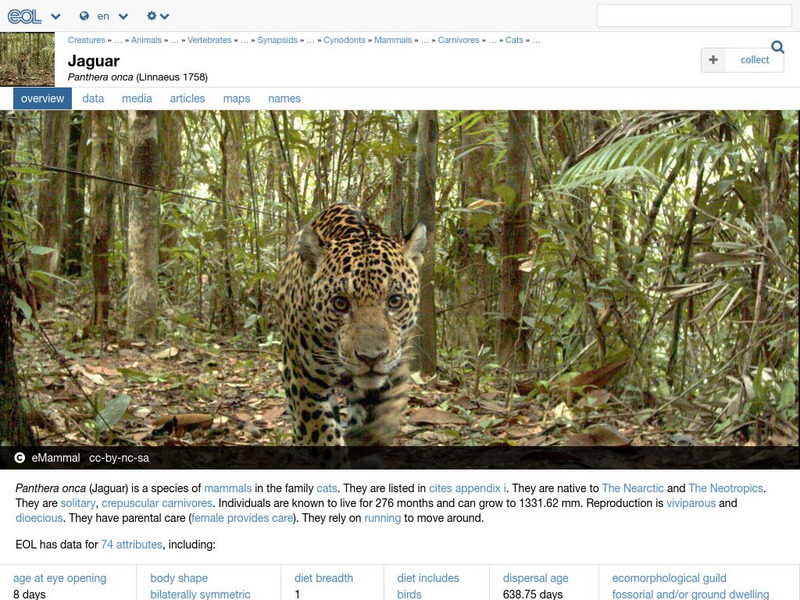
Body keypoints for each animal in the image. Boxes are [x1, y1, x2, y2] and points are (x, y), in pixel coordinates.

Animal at [275, 203, 426, 448]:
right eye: (340, 303)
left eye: (395, 300)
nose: (371, 358)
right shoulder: (303, 381)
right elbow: (321, 436)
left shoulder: (396, 369)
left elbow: (385, 414)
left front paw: (368, 435)